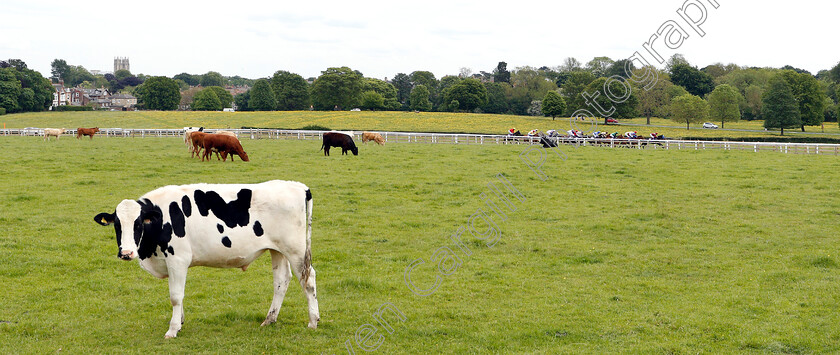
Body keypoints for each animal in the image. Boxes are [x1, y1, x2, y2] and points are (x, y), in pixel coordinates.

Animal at [93, 181, 320, 340]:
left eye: (139, 223)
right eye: (117, 225)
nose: (126, 252)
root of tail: (298, 186)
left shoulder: (178, 259)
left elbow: (175, 296)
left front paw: (172, 330)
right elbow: (178, 295)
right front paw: (180, 322)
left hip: (296, 250)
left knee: (308, 280)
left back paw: (313, 321)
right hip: (277, 250)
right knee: (281, 281)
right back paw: (269, 319)